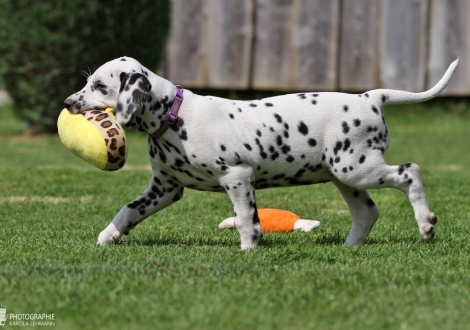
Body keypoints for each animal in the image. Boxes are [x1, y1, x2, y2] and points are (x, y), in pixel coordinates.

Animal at [64, 56, 458, 249]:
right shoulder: (164, 188)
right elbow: (128, 210)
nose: (68, 103)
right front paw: (109, 236)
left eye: (98, 86)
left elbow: (246, 219)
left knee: (410, 171)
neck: (174, 115)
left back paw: (426, 224)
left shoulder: (237, 176)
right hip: (345, 175)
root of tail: (369, 97)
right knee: (367, 212)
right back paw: (349, 247)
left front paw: (249, 249)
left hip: (358, 168)